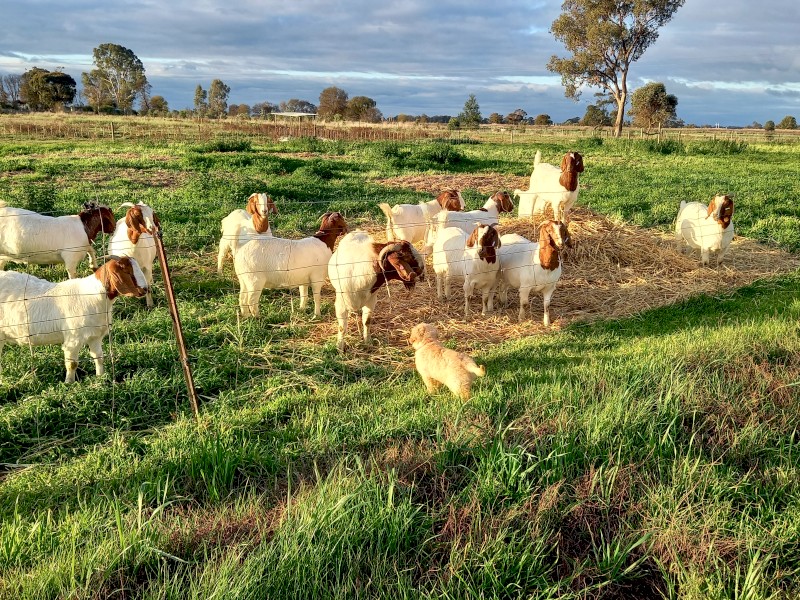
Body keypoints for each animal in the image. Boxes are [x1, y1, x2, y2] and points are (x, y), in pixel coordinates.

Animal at [0, 256, 148, 383]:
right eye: (126, 271)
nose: (145, 289)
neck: (93, 296)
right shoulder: (73, 338)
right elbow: (72, 363)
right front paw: (69, 384)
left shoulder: (95, 336)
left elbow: (99, 357)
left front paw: (100, 378)